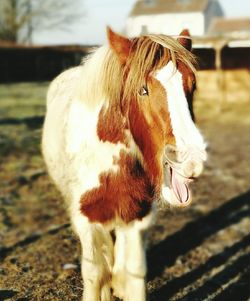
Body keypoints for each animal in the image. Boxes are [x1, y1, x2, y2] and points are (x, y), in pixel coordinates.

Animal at [42, 27, 207, 298]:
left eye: (192, 86)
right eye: (143, 90)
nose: (191, 160)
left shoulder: (138, 216)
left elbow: (133, 273)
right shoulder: (87, 219)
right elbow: (95, 274)